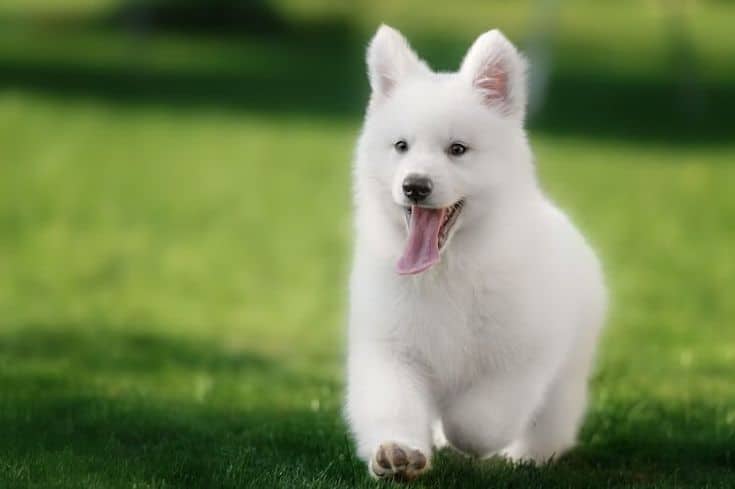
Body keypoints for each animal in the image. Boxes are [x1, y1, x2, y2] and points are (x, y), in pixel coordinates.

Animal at [348, 24, 608, 478]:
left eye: (457, 149)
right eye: (401, 146)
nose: (415, 185)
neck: (448, 267)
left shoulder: (520, 358)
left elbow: (477, 421)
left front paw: (459, 434)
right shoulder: (392, 348)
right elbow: (394, 405)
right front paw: (399, 452)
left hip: (568, 372)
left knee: (551, 421)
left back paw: (528, 455)